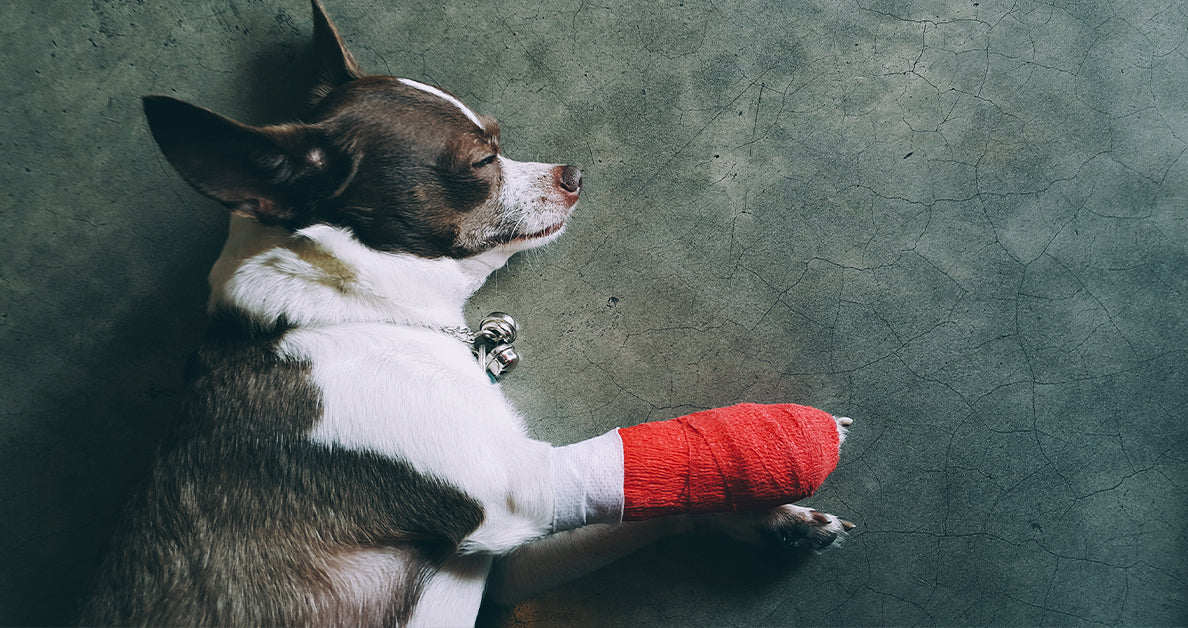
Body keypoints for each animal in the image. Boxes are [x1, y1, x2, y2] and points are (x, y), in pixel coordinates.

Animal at [83, 2, 855, 622]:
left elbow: (655, 509)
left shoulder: (505, 567)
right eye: (483, 161)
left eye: (498, 137)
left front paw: (771, 519)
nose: (574, 174)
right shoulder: (521, 487)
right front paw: (780, 447)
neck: (352, 311)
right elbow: (631, 465)